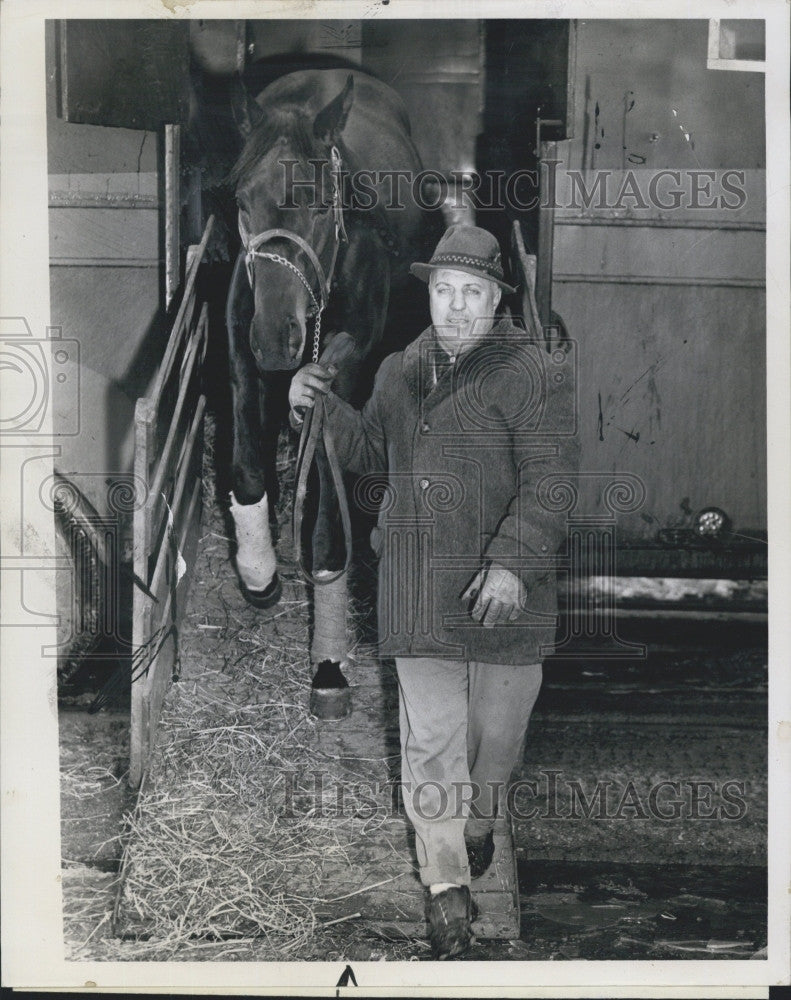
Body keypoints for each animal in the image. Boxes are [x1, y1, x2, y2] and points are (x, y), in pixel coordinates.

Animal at [223, 66, 436, 716]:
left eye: (318, 201)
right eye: (241, 201)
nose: (278, 336)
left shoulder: (348, 359)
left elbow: (324, 508)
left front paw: (328, 660)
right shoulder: (240, 342)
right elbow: (247, 470)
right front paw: (260, 571)